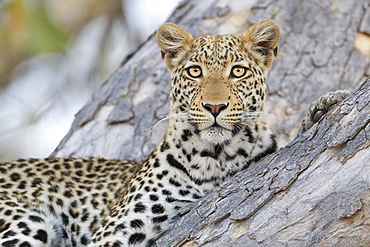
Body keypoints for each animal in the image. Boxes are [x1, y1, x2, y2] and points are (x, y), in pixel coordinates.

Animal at [0, 19, 346, 247]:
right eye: (195, 72)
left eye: (238, 71)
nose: (215, 106)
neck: (216, 159)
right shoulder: (115, 232)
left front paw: (324, 107)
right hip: (26, 223)